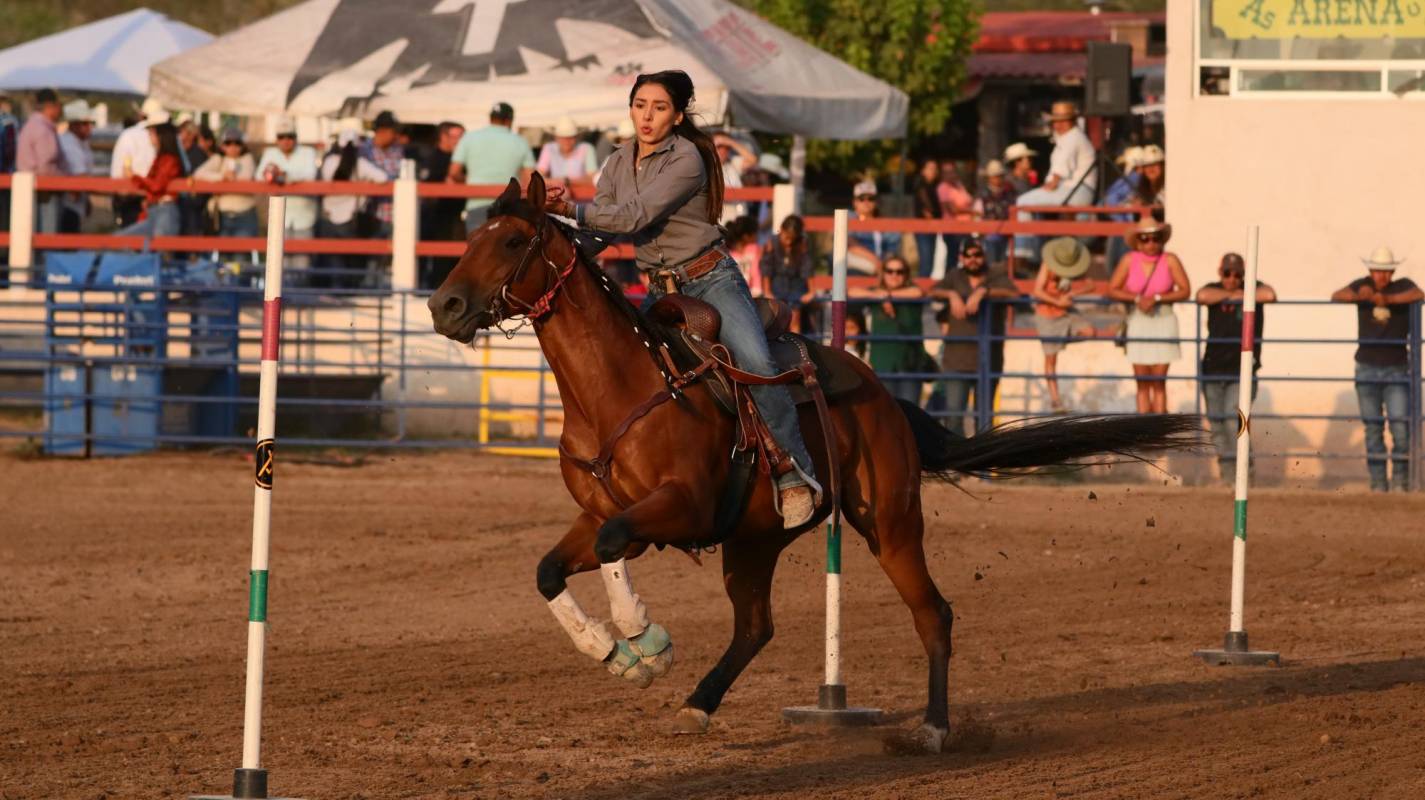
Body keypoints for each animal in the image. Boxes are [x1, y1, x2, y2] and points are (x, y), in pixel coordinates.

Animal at [424, 173, 1202, 747]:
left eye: (514, 238)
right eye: (472, 232)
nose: (444, 305)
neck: (621, 390)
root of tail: (883, 393)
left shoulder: (676, 508)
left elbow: (617, 544)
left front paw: (647, 641)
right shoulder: (600, 516)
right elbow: (548, 571)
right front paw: (613, 653)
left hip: (889, 522)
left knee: (934, 614)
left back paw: (932, 729)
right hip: (755, 538)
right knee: (755, 626)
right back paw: (699, 703)